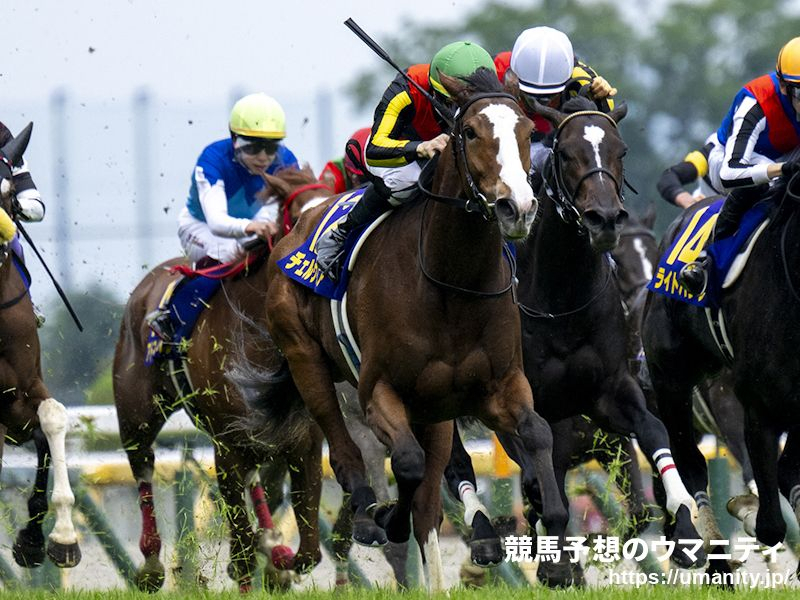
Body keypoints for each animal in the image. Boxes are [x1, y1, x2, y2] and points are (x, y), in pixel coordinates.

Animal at [111, 165, 324, 592]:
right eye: (300, 219)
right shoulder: (226, 445)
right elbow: (240, 545)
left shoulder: (304, 441)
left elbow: (309, 548)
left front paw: (279, 559)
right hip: (136, 412)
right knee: (142, 465)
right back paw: (151, 564)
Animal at [266, 71, 564, 592]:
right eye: (470, 133)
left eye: (528, 131)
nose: (518, 207)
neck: (451, 283)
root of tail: (299, 226)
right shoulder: (378, 391)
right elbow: (405, 462)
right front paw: (388, 518)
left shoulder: (497, 387)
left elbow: (537, 432)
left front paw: (551, 538)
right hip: (306, 359)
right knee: (345, 452)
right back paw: (370, 513)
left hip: (435, 413)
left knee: (427, 500)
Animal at [640, 179, 800, 576]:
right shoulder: (756, 408)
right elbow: (769, 522)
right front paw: (746, 514)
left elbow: (786, 475)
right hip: (670, 382)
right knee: (690, 463)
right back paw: (711, 552)